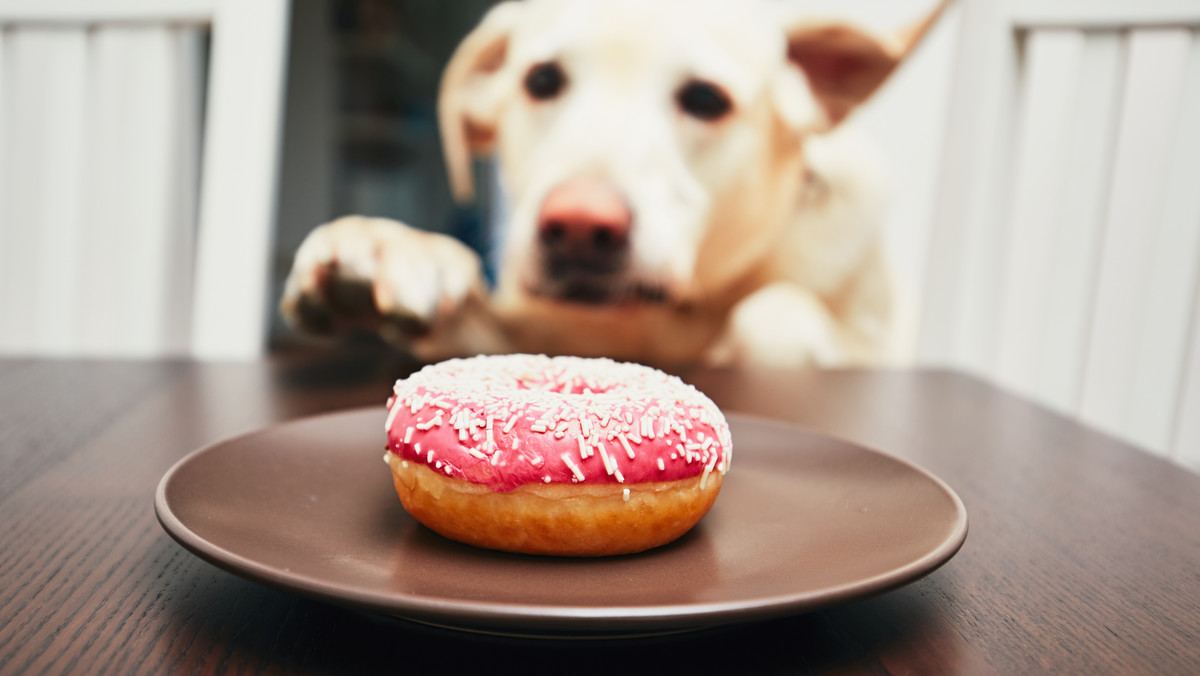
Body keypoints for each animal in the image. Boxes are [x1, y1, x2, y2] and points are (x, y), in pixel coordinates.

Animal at [278, 0, 945, 369]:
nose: (577, 226)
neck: (671, 314)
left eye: (707, 99)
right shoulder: (532, 329)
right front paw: (391, 249)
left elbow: (777, 314)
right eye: (540, 81)